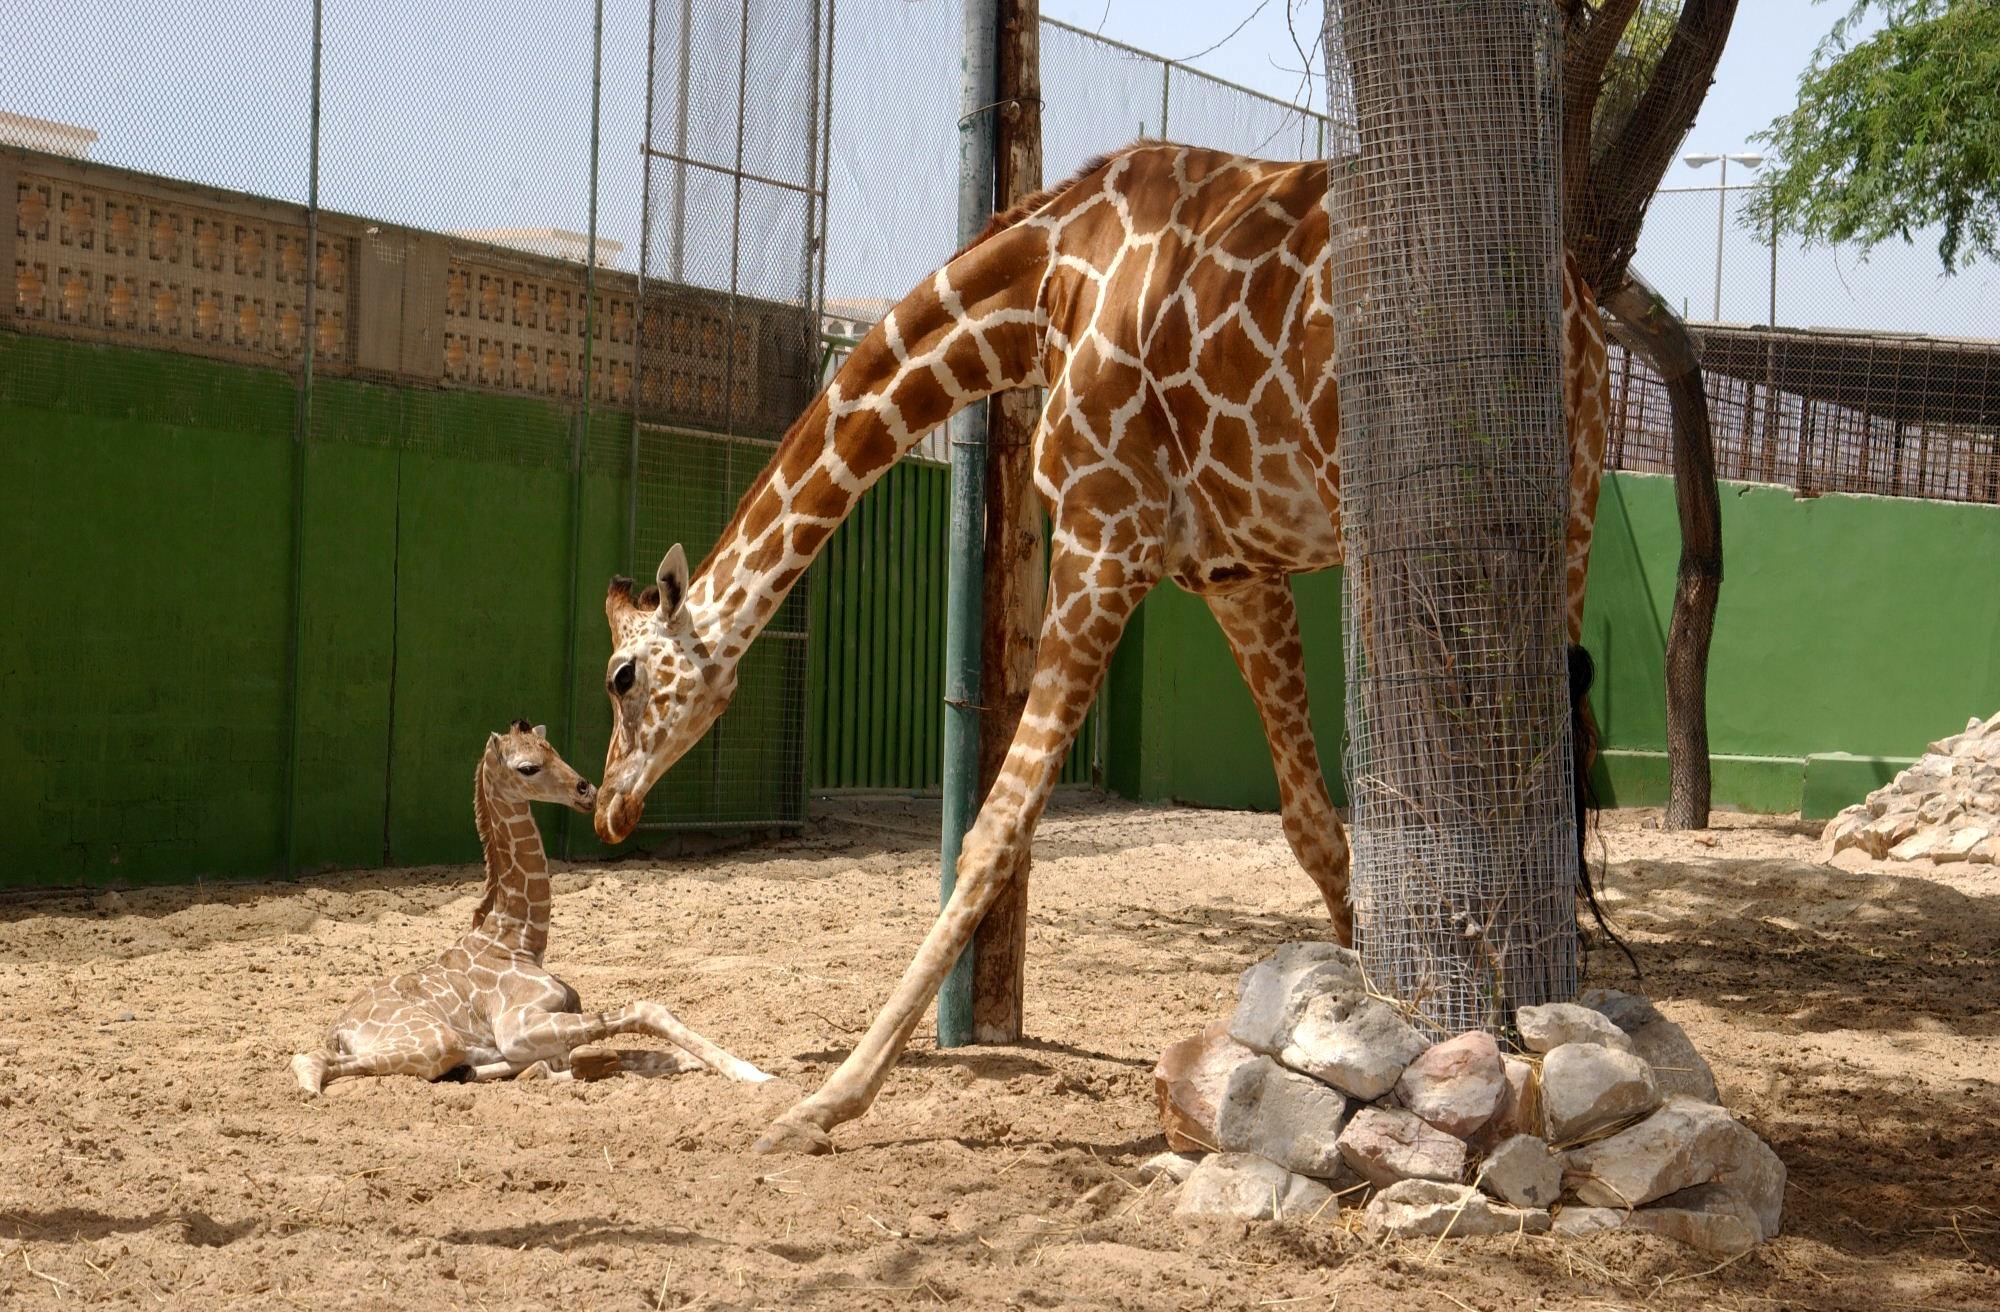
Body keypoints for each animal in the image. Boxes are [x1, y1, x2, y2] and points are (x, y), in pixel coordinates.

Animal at [290, 724, 772, 1088]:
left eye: (553, 749)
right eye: (528, 767)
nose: (587, 791)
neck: (517, 939)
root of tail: (339, 1030)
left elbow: (641, 1051)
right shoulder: (517, 1026)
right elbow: (646, 1010)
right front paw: (752, 1072)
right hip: (433, 1042)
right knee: (312, 1062)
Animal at [588, 138, 1608, 1152]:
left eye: (621, 677)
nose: (608, 809)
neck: (1039, 290)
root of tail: (1575, 307)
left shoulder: (1100, 534)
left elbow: (995, 830)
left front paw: (826, 1101)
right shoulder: (1233, 570)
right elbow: (1312, 827)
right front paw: (1379, 1028)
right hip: (1569, 515)